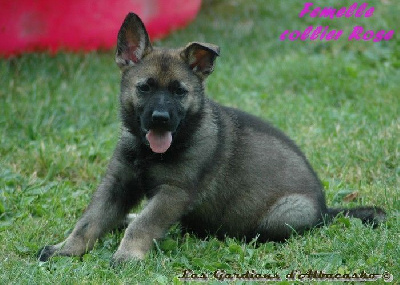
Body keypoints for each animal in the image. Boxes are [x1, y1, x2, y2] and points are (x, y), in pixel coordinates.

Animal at [38, 12, 384, 262]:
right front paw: (65, 250)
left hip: (286, 212)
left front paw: (127, 256)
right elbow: (89, 221)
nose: (160, 118)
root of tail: (327, 211)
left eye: (180, 92)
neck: (152, 151)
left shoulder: (173, 193)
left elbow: (143, 225)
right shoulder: (117, 183)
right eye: (145, 87)